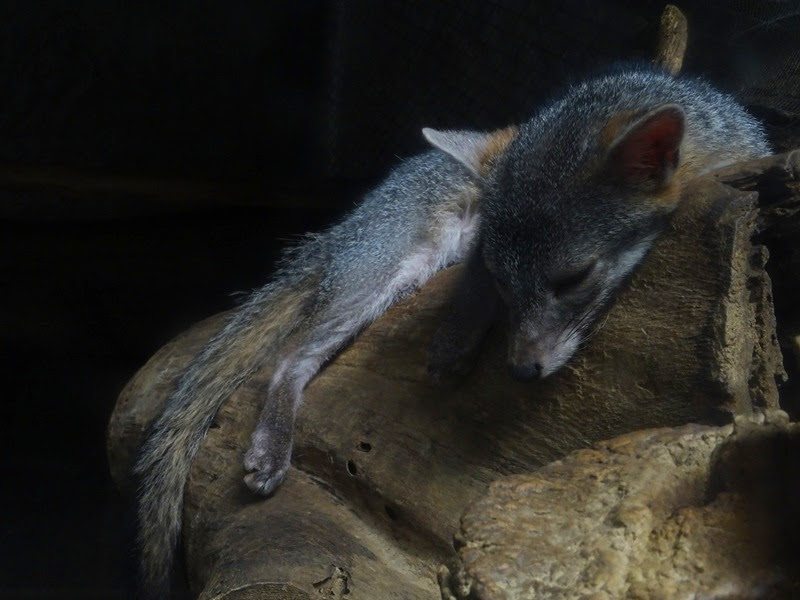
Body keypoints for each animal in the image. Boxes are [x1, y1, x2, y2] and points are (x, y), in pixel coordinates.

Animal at [134, 64, 770, 597]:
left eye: (573, 278)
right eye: (506, 279)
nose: (521, 369)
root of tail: (348, 226)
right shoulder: (477, 250)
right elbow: (472, 286)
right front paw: (456, 337)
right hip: (392, 272)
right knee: (291, 357)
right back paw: (271, 446)